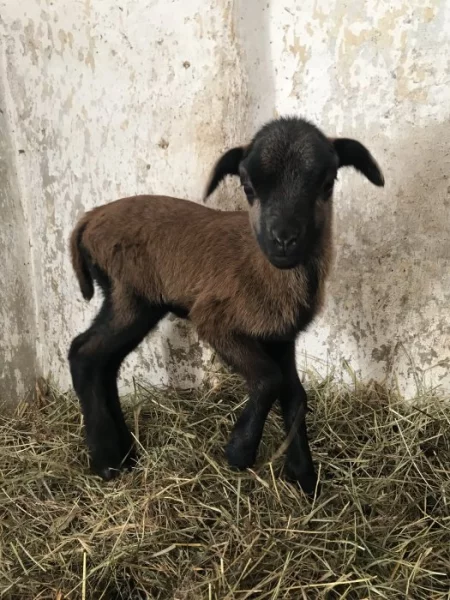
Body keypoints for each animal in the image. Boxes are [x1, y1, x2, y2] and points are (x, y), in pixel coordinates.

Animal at [68, 116, 384, 492]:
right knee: (84, 354)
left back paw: (127, 454)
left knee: (105, 362)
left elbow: (295, 396)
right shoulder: (215, 320)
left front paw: (304, 478)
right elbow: (269, 379)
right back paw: (106, 461)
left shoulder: (281, 337)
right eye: (247, 186)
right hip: (127, 293)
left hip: (138, 302)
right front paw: (240, 451)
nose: (284, 240)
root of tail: (88, 220)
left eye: (327, 182)